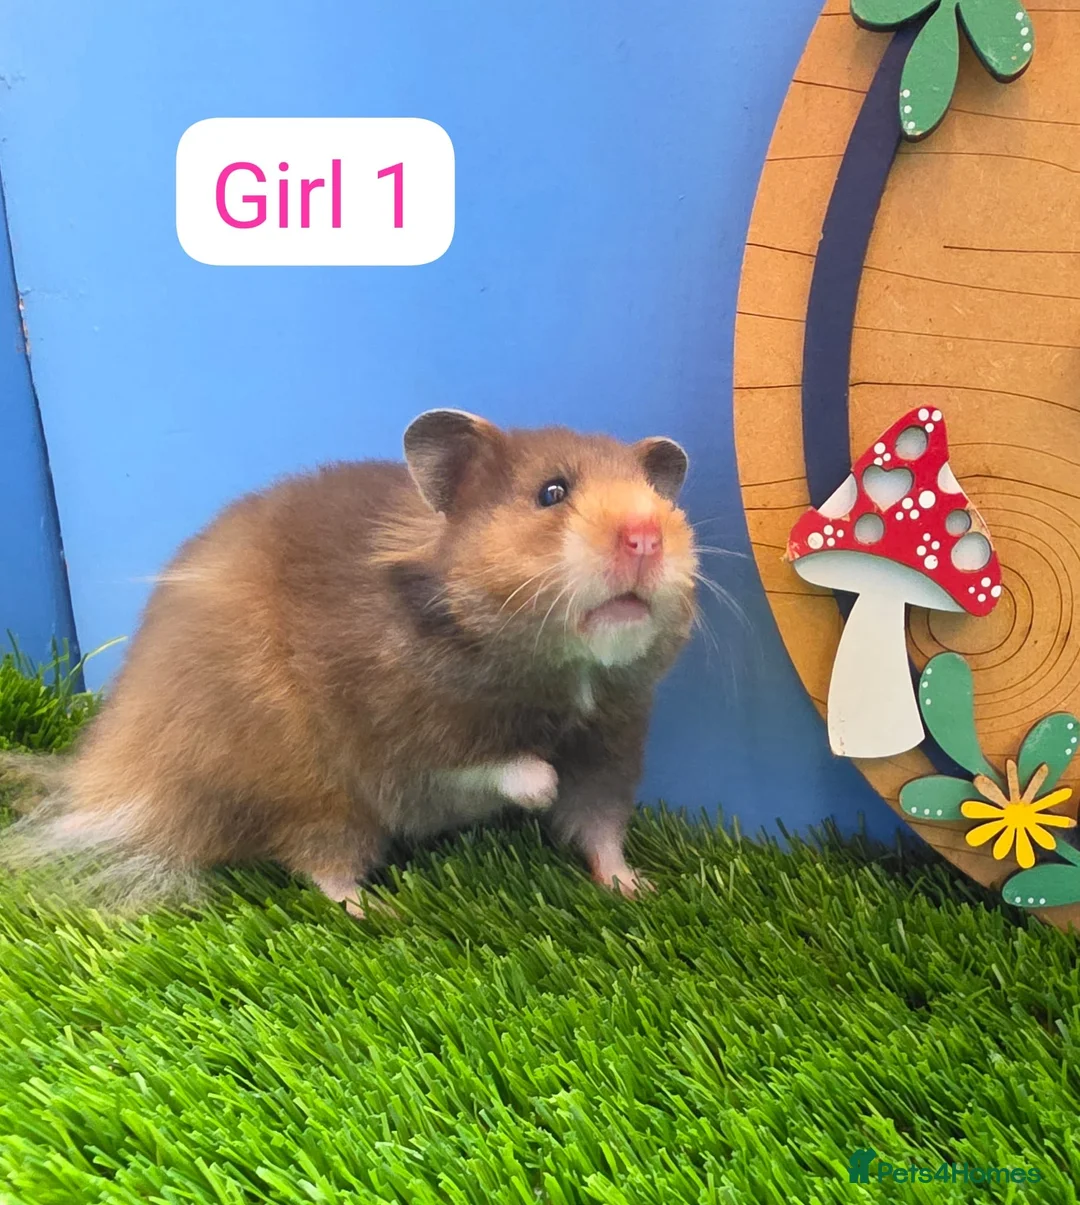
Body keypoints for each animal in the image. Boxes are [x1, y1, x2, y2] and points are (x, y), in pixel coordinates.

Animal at [3, 410, 698, 917]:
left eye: (659, 501)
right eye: (551, 493)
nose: (646, 536)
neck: (567, 671)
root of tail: (131, 779)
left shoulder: (611, 742)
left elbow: (600, 828)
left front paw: (638, 887)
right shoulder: (395, 738)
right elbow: (492, 765)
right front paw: (541, 785)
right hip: (312, 795)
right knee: (319, 864)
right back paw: (377, 909)